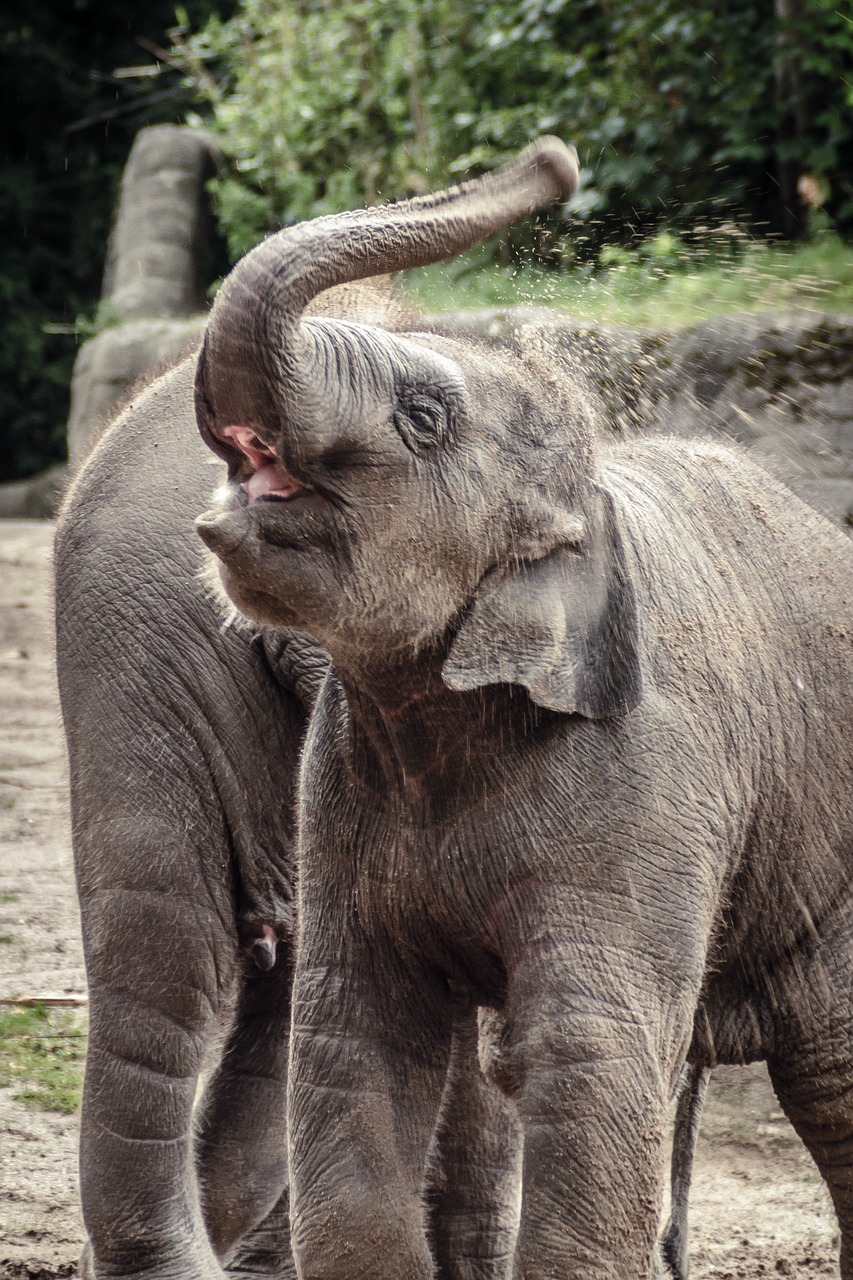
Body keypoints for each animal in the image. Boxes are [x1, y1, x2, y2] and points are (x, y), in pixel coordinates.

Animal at [193, 135, 853, 1280]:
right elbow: (354, 1042)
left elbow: (586, 1059)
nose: (557, 159)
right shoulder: (337, 789)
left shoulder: (642, 782)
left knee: (831, 1078)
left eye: (422, 418)